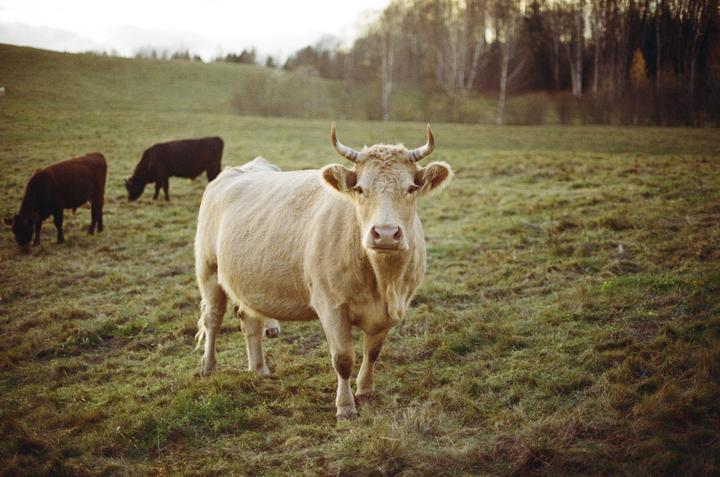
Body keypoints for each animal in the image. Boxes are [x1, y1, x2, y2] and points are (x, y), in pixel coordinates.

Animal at [194, 124, 453, 419]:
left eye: (410, 188)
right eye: (360, 188)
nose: (385, 233)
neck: (384, 282)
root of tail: (238, 170)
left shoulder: (390, 312)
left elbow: (373, 353)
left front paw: (365, 390)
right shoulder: (331, 306)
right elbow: (343, 359)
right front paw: (345, 406)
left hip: (249, 280)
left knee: (250, 321)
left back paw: (259, 369)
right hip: (208, 269)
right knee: (212, 319)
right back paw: (208, 366)